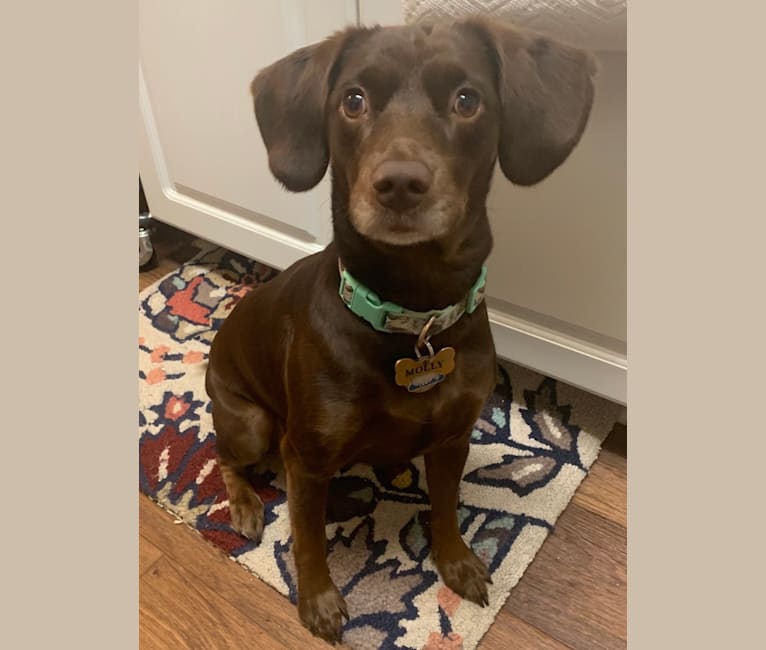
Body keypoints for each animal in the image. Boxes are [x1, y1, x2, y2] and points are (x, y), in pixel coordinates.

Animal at [206, 16, 600, 644]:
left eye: (468, 99)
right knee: (226, 454)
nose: (398, 183)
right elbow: (309, 540)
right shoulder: (306, 459)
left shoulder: (452, 438)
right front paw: (318, 601)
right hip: (252, 422)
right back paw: (244, 504)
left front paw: (457, 560)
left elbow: (445, 508)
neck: (413, 316)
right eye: (352, 100)